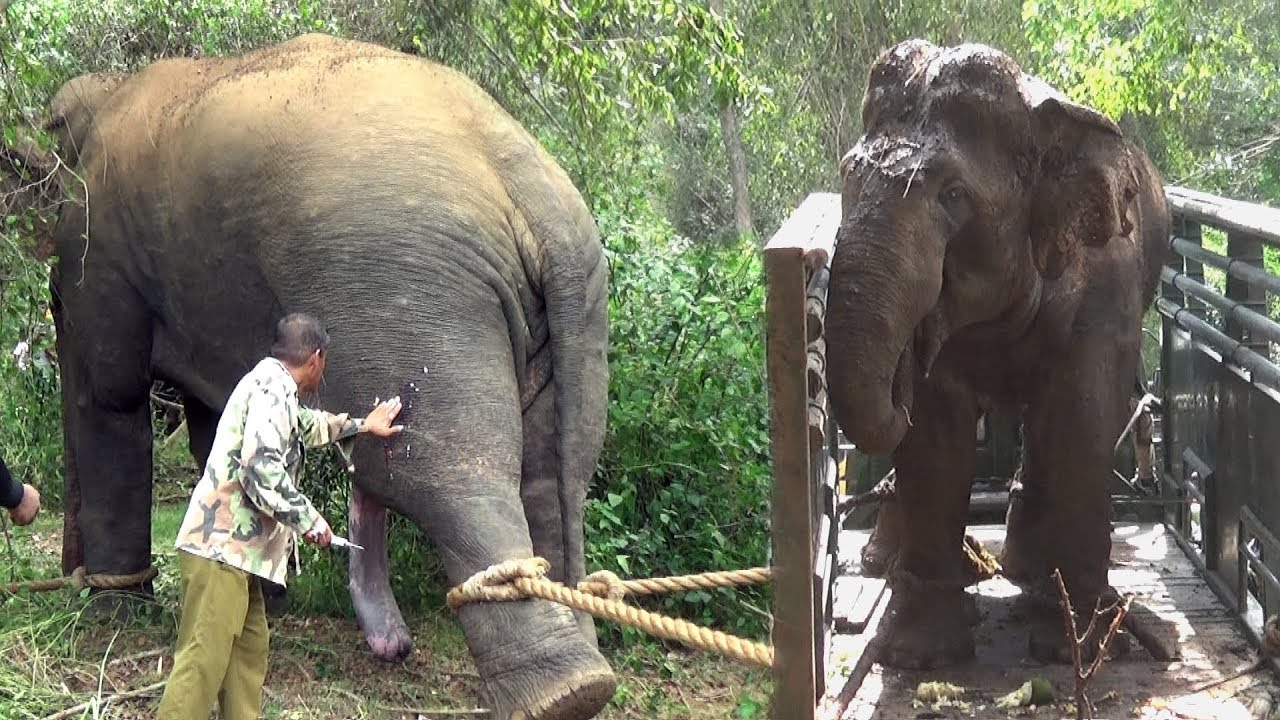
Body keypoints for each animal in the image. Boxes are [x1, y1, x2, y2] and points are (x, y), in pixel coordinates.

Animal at [1, 33, 614, 720]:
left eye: (54, 296)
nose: (72, 577)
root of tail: (533, 193)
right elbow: (215, 417)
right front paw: (262, 595)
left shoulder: (104, 249)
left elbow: (112, 392)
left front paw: (115, 618)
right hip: (577, 307)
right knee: (553, 477)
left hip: (415, 297)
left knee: (451, 479)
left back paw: (564, 695)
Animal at [824, 39, 1170, 669]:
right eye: (847, 176)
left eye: (953, 194)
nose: (903, 366)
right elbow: (936, 431)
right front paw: (922, 655)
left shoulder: (1106, 286)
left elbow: (1081, 419)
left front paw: (1072, 648)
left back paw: (1033, 581)